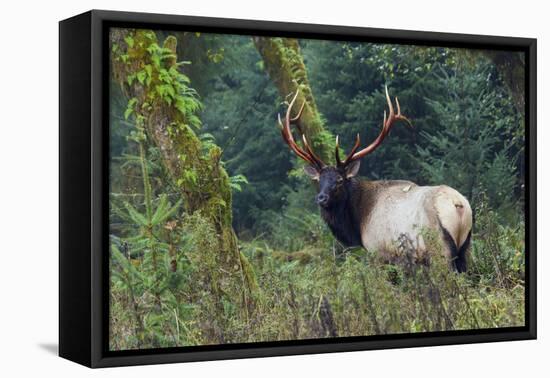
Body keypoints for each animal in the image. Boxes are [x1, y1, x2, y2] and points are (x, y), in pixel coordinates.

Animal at [280, 88, 474, 272]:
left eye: (340, 180)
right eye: (319, 180)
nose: (321, 198)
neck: (358, 223)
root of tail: (458, 204)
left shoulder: (380, 253)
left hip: (439, 248)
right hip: (465, 247)